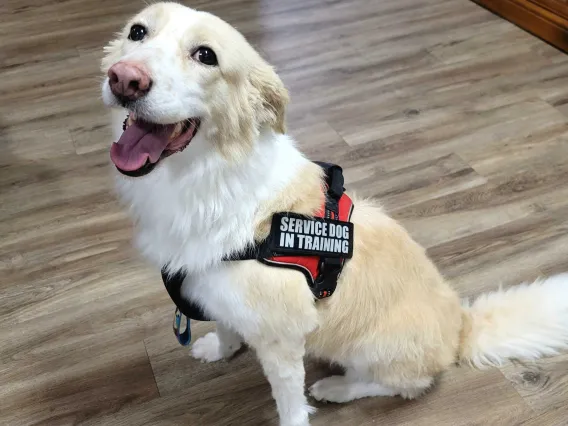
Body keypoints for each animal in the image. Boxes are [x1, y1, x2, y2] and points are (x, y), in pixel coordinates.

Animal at [102, 2, 568, 422]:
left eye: (205, 56)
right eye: (137, 31)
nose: (124, 79)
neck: (205, 178)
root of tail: (460, 329)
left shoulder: (282, 338)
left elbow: (290, 404)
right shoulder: (212, 291)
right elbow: (225, 325)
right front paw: (220, 349)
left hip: (374, 348)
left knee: (402, 385)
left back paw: (337, 388)